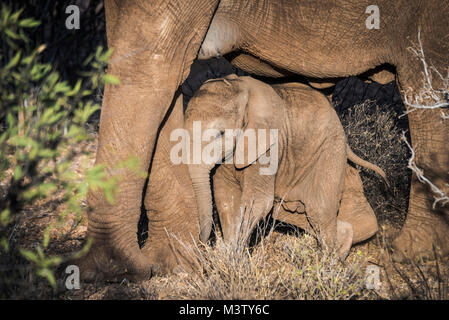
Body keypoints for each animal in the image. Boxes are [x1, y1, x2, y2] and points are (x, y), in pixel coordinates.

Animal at [184, 74, 386, 258]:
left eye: (220, 134)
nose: (204, 242)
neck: (239, 87)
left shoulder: (270, 144)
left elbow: (258, 201)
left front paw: (233, 255)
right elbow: (225, 197)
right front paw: (226, 253)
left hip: (330, 153)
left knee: (319, 212)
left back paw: (330, 262)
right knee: (300, 215)